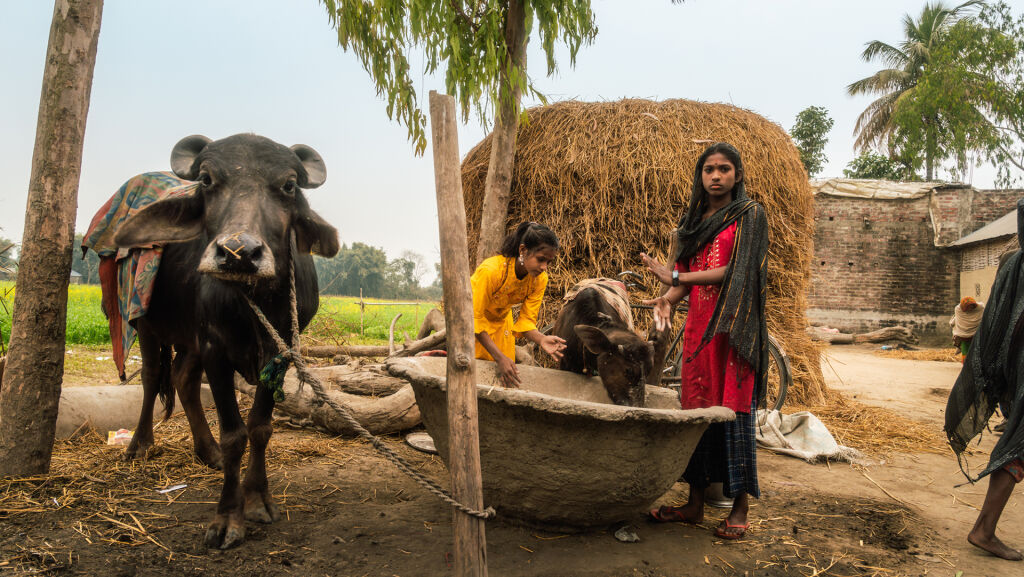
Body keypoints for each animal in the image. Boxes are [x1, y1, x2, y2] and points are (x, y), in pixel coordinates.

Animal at [110, 133, 337, 549]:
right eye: (207, 179)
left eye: (288, 185)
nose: (239, 253)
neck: (255, 297)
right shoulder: (215, 348)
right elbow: (234, 435)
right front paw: (228, 517)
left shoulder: (279, 353)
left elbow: (260, 428)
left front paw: (258, 499)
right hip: (147, 323)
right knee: (151, 378)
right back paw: (140, 444)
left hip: (189, 339)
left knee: (183, 378)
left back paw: (207, 452)